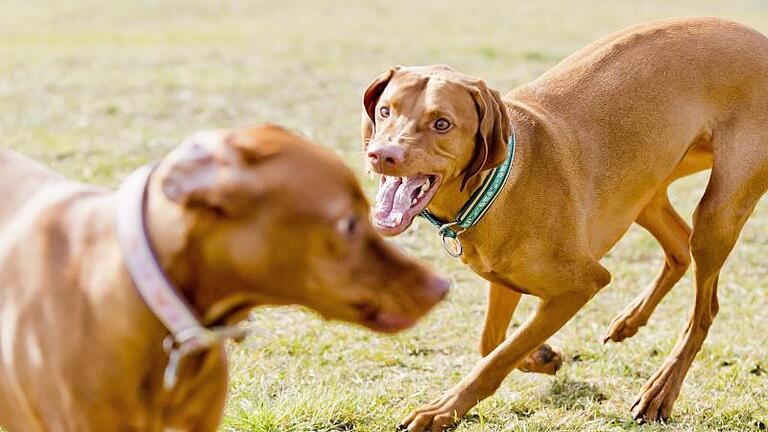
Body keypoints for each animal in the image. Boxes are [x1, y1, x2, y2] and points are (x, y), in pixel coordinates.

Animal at [362, 16, 768, 428]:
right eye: (385, 111)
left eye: (442, 123)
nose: (382, 155)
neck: (495, 185)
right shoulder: (503, 280)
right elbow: (493, 341)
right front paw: (540, 357)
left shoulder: (581, 285)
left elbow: (497, 358)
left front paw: (443, 409)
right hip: (645, 190)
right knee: (680, 248)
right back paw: (631, 320)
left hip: (718, 212)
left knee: (704, 311)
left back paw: (661, 391)